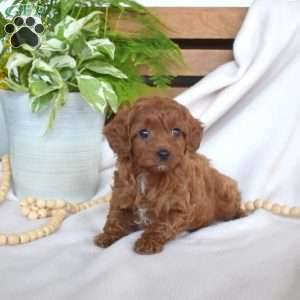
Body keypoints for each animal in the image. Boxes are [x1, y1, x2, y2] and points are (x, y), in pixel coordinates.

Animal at [94, 97, 244, 254]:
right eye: (144, 133)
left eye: (176, 131)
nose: (164, 153)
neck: (149, 175)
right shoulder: (122, 196)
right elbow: (115, 217)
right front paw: (107, 235)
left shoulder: (179, 208)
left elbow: (161, 224)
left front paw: (148, 242)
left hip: (226, 192)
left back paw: (240, 214)